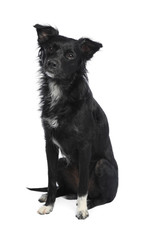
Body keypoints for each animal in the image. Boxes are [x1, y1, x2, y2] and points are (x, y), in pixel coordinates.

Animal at [28, 24, 119, 219]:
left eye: (70, 55)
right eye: (50, 48)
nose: (51, 63)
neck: (61, 91)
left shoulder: (85, 145)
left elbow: (83, 184)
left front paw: (82, 209)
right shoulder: (49, 144)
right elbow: (50, 179)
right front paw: (49, 205)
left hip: (102, 166)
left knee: (103, 198)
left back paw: (89, 203)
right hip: (62, 162)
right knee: (63, 188)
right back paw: (51, 195)